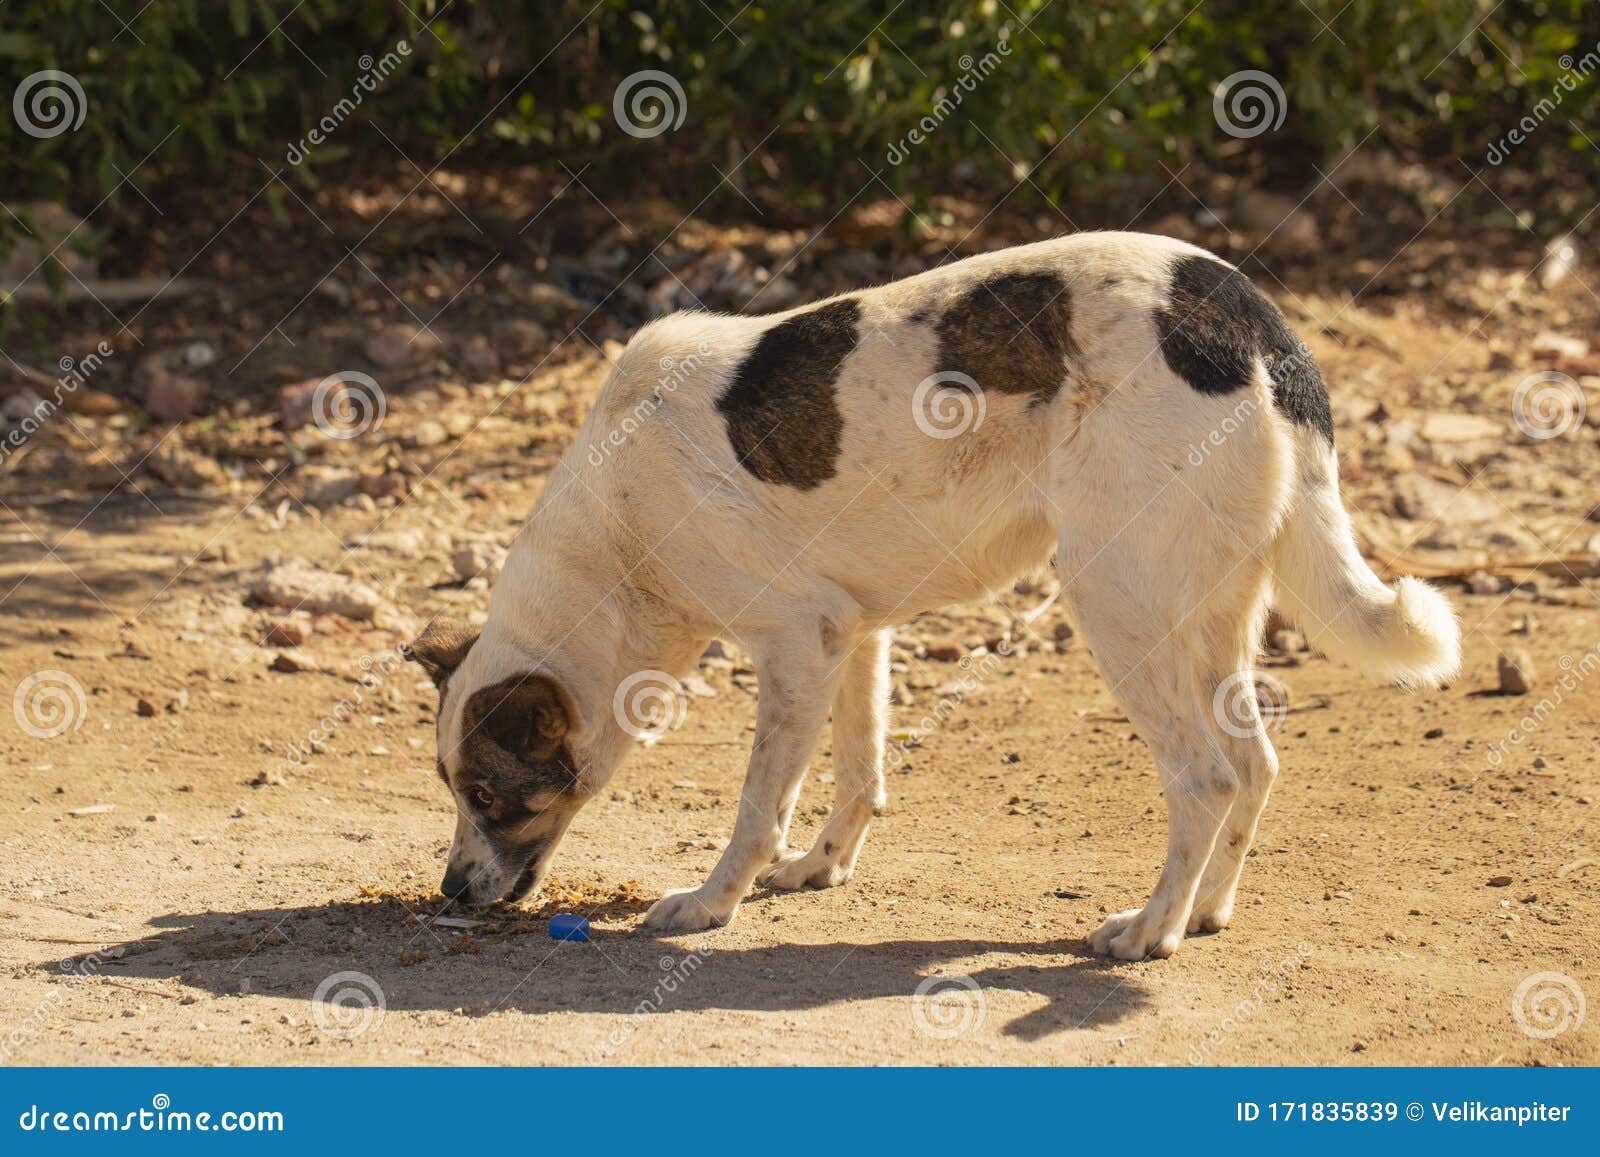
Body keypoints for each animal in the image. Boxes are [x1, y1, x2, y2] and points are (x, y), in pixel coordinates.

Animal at [403, 230, 1465, 966]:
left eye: (490, 794)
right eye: (452, 790)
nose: (450, 891)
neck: (616, 547)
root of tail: (1245, 311)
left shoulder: (793, 643)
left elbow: (756, 806)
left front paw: (711, 904)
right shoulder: (851, 635)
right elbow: (859, 772)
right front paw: (821, 868)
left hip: (1115, 604)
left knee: (1204, 778)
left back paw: (1149, 931)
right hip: (1206, 618)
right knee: (1254, 765)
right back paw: (1205, 912)